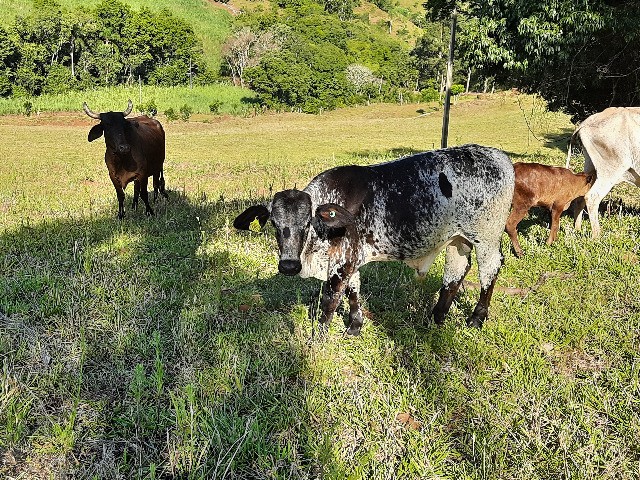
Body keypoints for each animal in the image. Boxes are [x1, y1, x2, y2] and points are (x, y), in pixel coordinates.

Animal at [235, 144, 516, 334]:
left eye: (308, 223)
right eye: (274, 223)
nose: (288, 266)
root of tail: (500, 157)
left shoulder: (341, 263)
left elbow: (329, 301)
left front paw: (318, 338)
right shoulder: (351, 258)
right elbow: (354, 291)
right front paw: (355, 326)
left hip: (486, 238)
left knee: (489, 271)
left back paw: (476, 318)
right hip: (458, 239)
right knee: (455, 272)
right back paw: (435, 317)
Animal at [564, 107, 640, 238]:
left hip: (591, 168)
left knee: (581, 197)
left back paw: (577, 228)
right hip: (609, 171)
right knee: (592, 197)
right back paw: (597, 236)